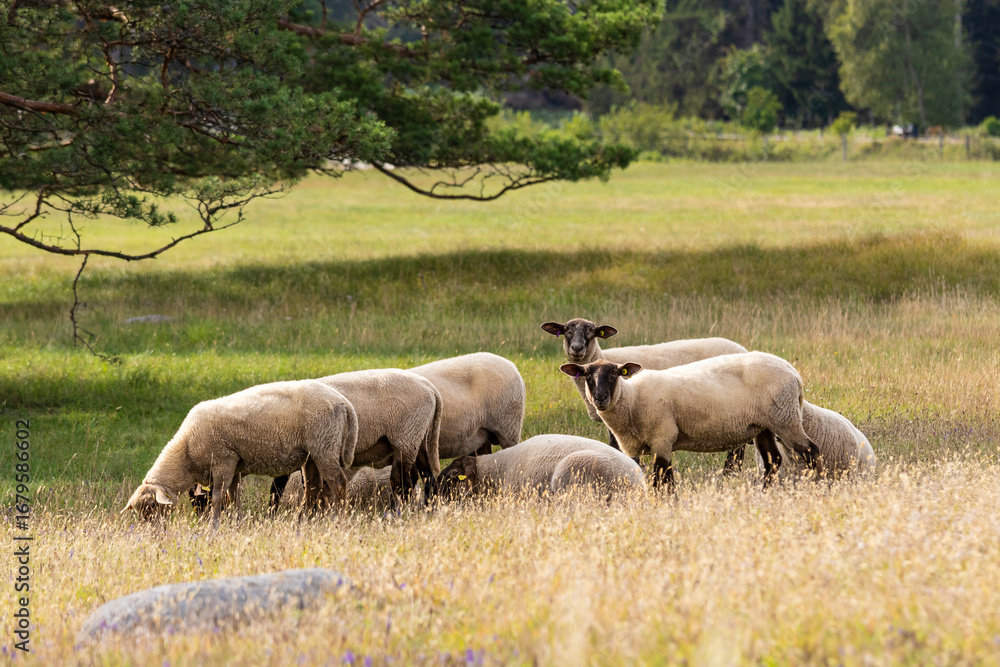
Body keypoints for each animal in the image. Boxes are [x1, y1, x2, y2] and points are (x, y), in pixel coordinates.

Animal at [123, 380, 357, 525]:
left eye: (152, 507)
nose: (155, 535)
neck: (186, 453)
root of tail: (343, 402)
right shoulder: (234, 465)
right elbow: (233, 496)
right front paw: (237, 522)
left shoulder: (223, 460)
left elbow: (218, 497)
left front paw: (214, 526)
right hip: (311, 455)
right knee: (313, 487)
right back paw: (303, 521)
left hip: (324, 447)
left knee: (339, 484)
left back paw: (338, 520)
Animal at [269, 369, 442, 509]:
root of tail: (429, 387)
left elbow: (280, 487)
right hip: (416, 437)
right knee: (425, 476)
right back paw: (427, 509)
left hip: (405, 436)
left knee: (401, 481)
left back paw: (400, 512)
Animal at [559, 353, 819, 490]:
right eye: (587, 376)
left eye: (614, 375)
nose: (600, 398)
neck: (632, 400)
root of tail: (793, 372)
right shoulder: (638, 448)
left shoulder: (662, 439)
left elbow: (662, 481)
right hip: (763, 426)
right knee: (773, 461)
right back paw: (763, 493)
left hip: (785, 418)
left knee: (810, 452)